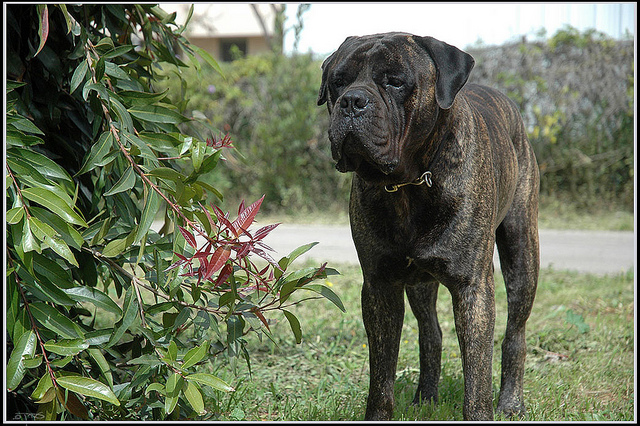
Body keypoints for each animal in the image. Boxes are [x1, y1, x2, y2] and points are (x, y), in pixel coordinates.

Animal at [318, 31, 536, 422]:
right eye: (338, 82)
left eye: (395, 81)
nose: (352, 101)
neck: (408, 185)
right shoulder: (380, 286)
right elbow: (381, 374)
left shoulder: (473, 289)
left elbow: (476, 376)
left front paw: (481, 409)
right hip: (420, 282)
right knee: (430, 332)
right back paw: (426, 396)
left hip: (522, 253)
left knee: (515, 334)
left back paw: (511, 402)